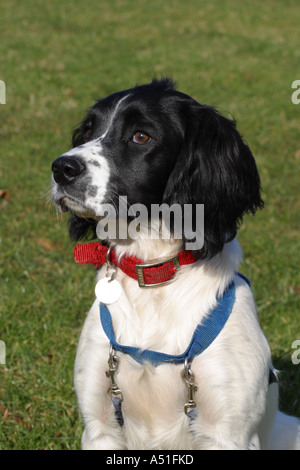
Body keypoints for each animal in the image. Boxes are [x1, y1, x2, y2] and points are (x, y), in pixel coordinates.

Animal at [51, 79, 300, 450]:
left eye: (141, 136)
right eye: (87, 130)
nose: (61, 168)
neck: (154, 274)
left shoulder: (228, 434)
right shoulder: (100, 427)